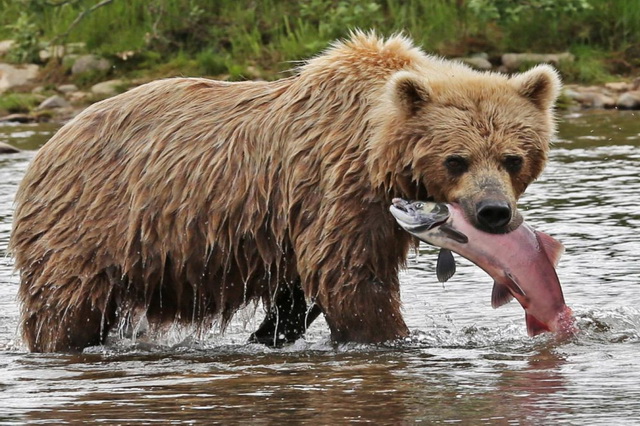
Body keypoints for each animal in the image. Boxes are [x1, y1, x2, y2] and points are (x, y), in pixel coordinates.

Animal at [10, 32, 560, 352]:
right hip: (89, 223)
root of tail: (47, 147)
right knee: (64, 306)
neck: (379, 150)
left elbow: (302, 290)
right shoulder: (338, 187)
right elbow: (352, 278)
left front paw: (271, 333)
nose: (493, 212)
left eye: (513, 157)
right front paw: (390, 336)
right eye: (456, 159)